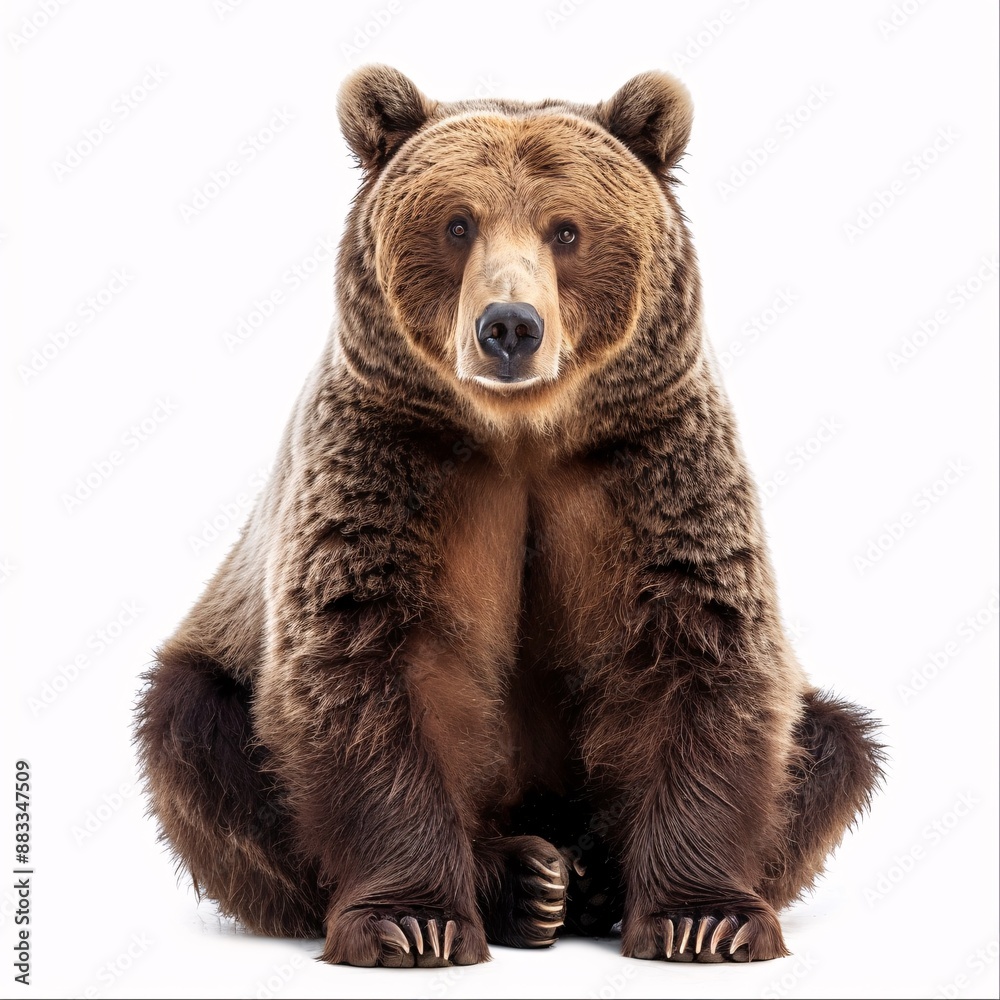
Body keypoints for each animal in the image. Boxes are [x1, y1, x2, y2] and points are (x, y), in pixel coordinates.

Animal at [135, 66, 884, 968]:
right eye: (458, 223)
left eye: (566, 230)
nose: (510, 327)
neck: (522, 433)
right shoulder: (393, 460)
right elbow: (371, 665)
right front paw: (413, 922)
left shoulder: (651, 469)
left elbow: (700, 650)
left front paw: (706, 921)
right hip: (220, 673)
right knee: (192, 734)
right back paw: (529, 881)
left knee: (837, 743)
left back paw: (590, 876)